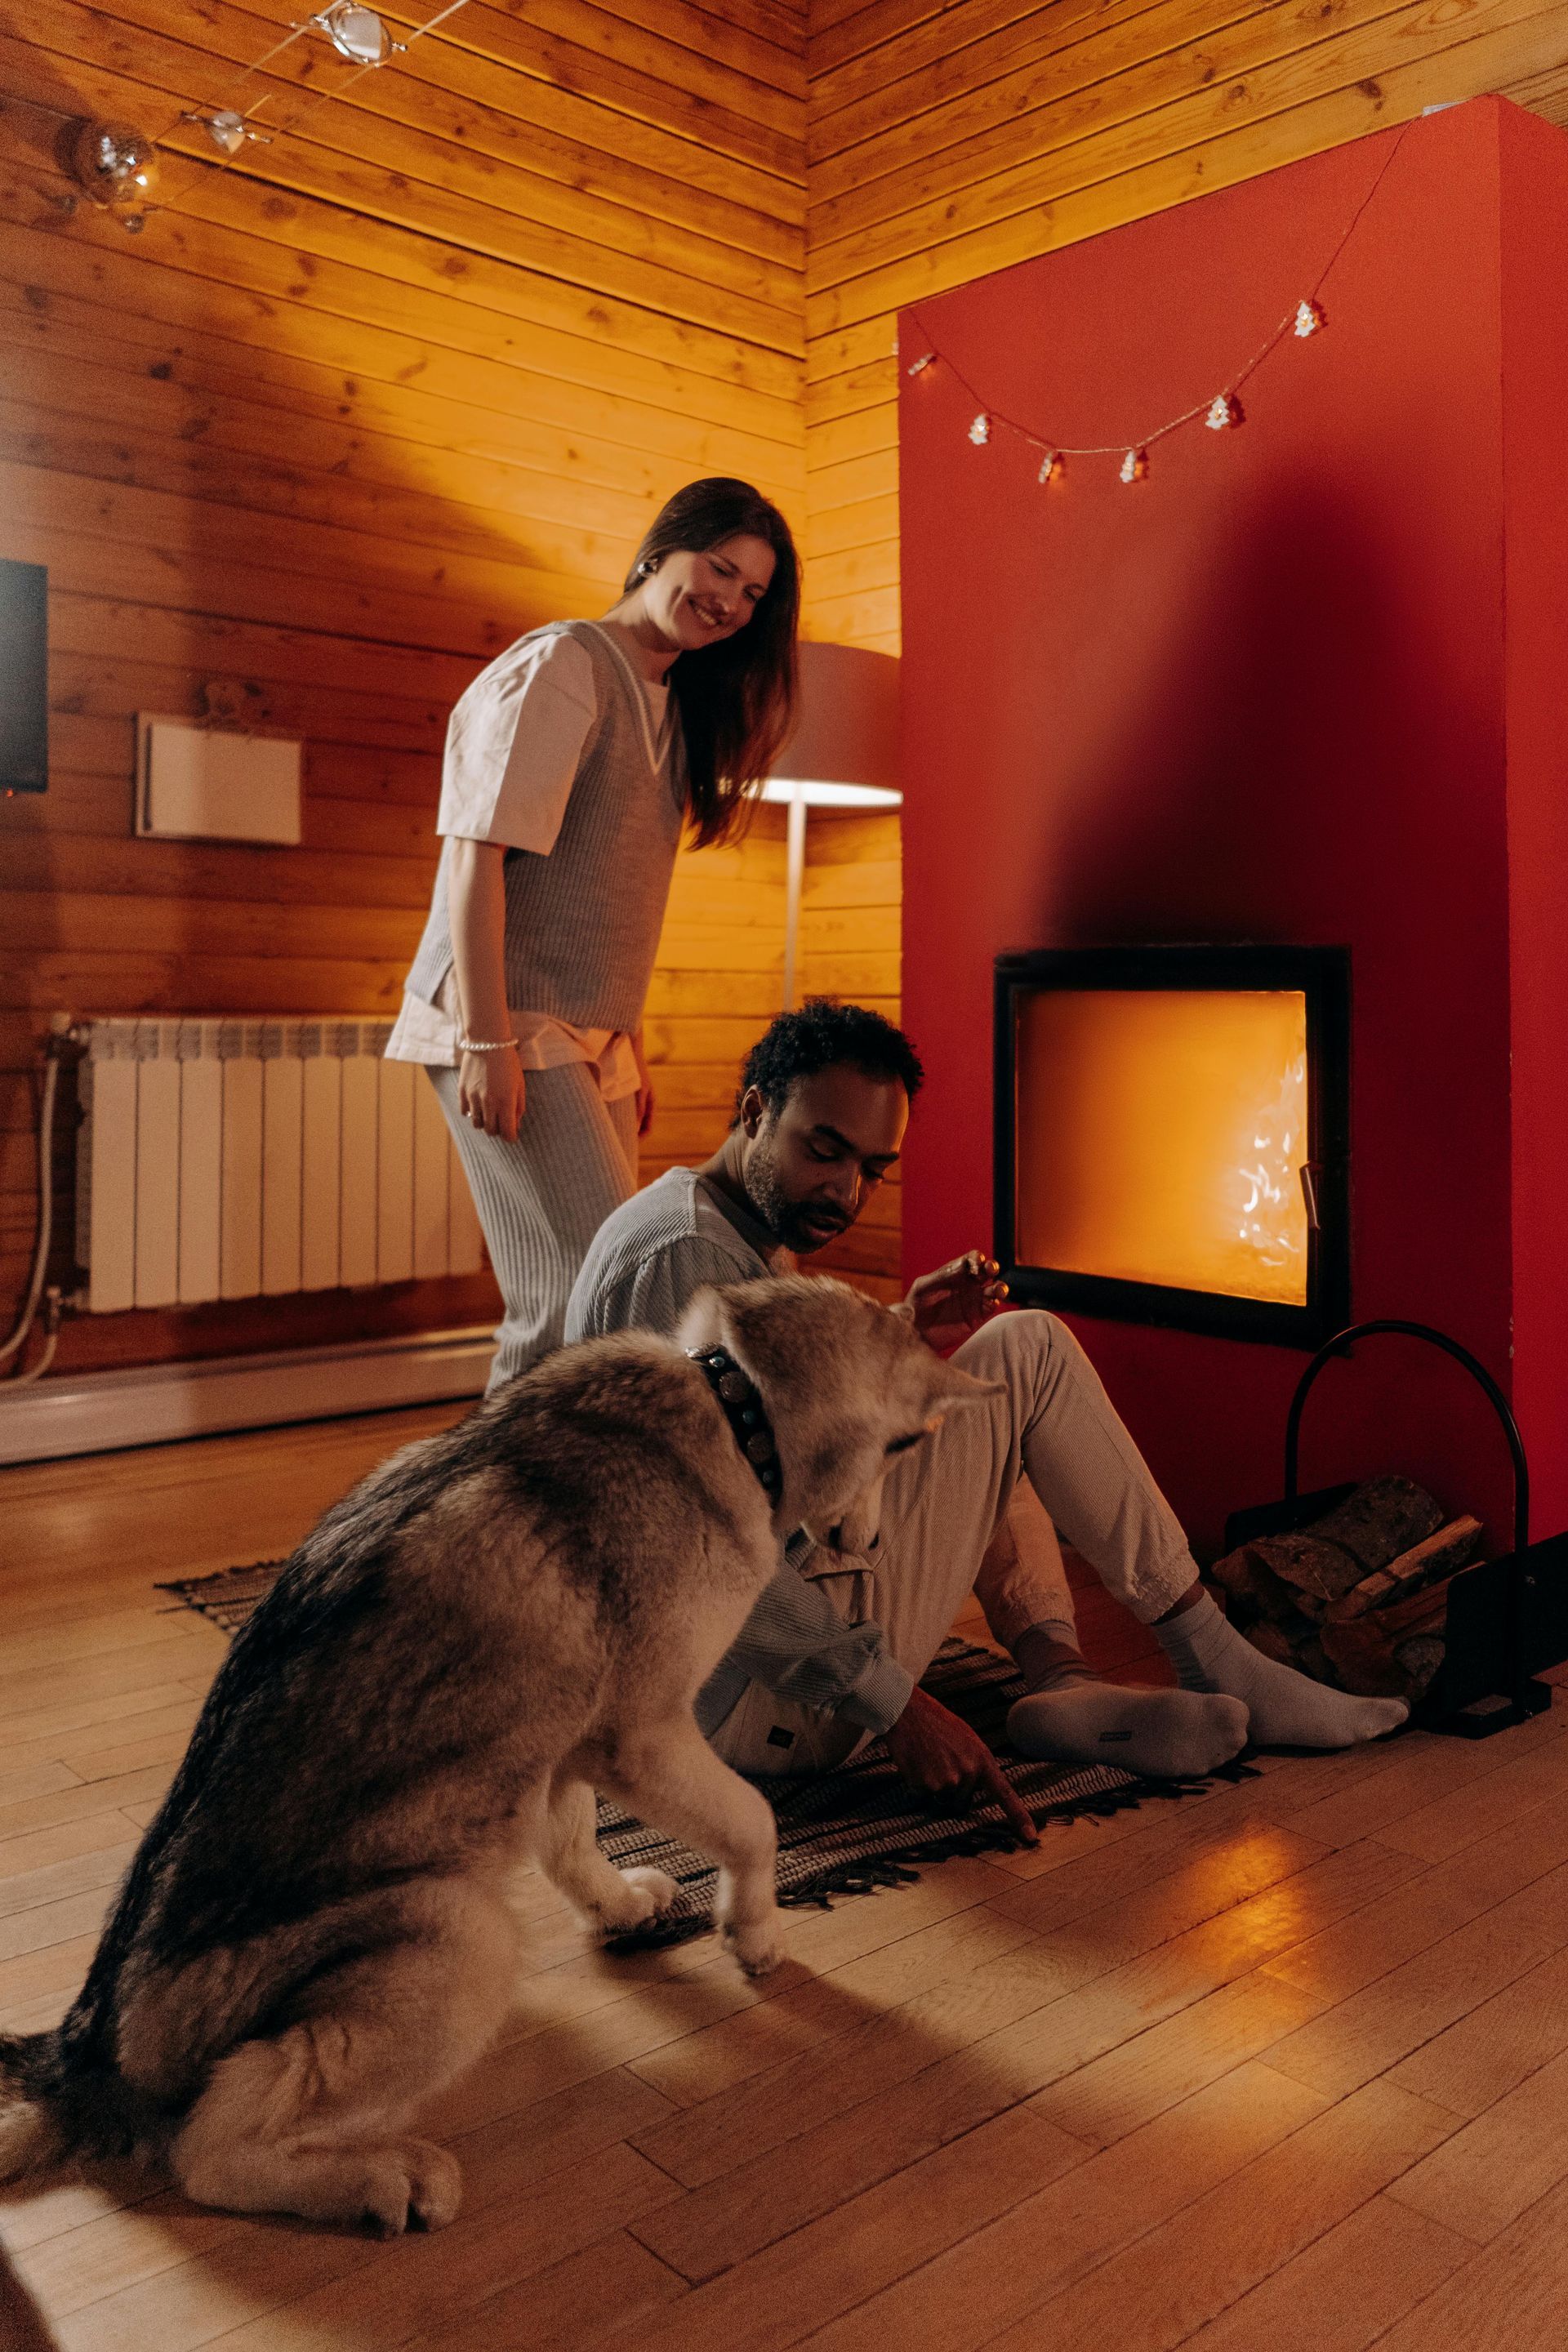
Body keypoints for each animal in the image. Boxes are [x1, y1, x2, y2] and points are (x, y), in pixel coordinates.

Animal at [2, 1279, 991, 2230]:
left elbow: (574, 1842)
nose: (872, 1543)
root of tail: (86, 2057)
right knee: (209, 2145)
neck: (731, 1398)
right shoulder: (644, 1734)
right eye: (905, 1447)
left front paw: (622, 1904)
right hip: (459, 1932)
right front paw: (754, 1933)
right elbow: (751, 1821)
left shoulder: (557, 1746)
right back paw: (384, 2180)